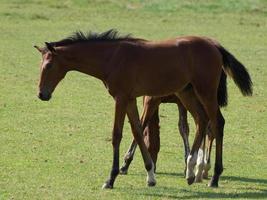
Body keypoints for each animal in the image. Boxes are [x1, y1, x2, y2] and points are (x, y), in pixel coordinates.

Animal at [34, 28, 252, 188]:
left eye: (49, 66)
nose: (42, 94)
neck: (112, 57)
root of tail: (215, 45)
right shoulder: (131, 99)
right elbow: (138, 131)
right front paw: (150, 175)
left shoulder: (121, 98)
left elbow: (117, 134)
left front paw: (110, 179)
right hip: (187, 93)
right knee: (202, 120)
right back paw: (191, 171)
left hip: (205, 91)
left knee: (217, 123)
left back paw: (213, 176)